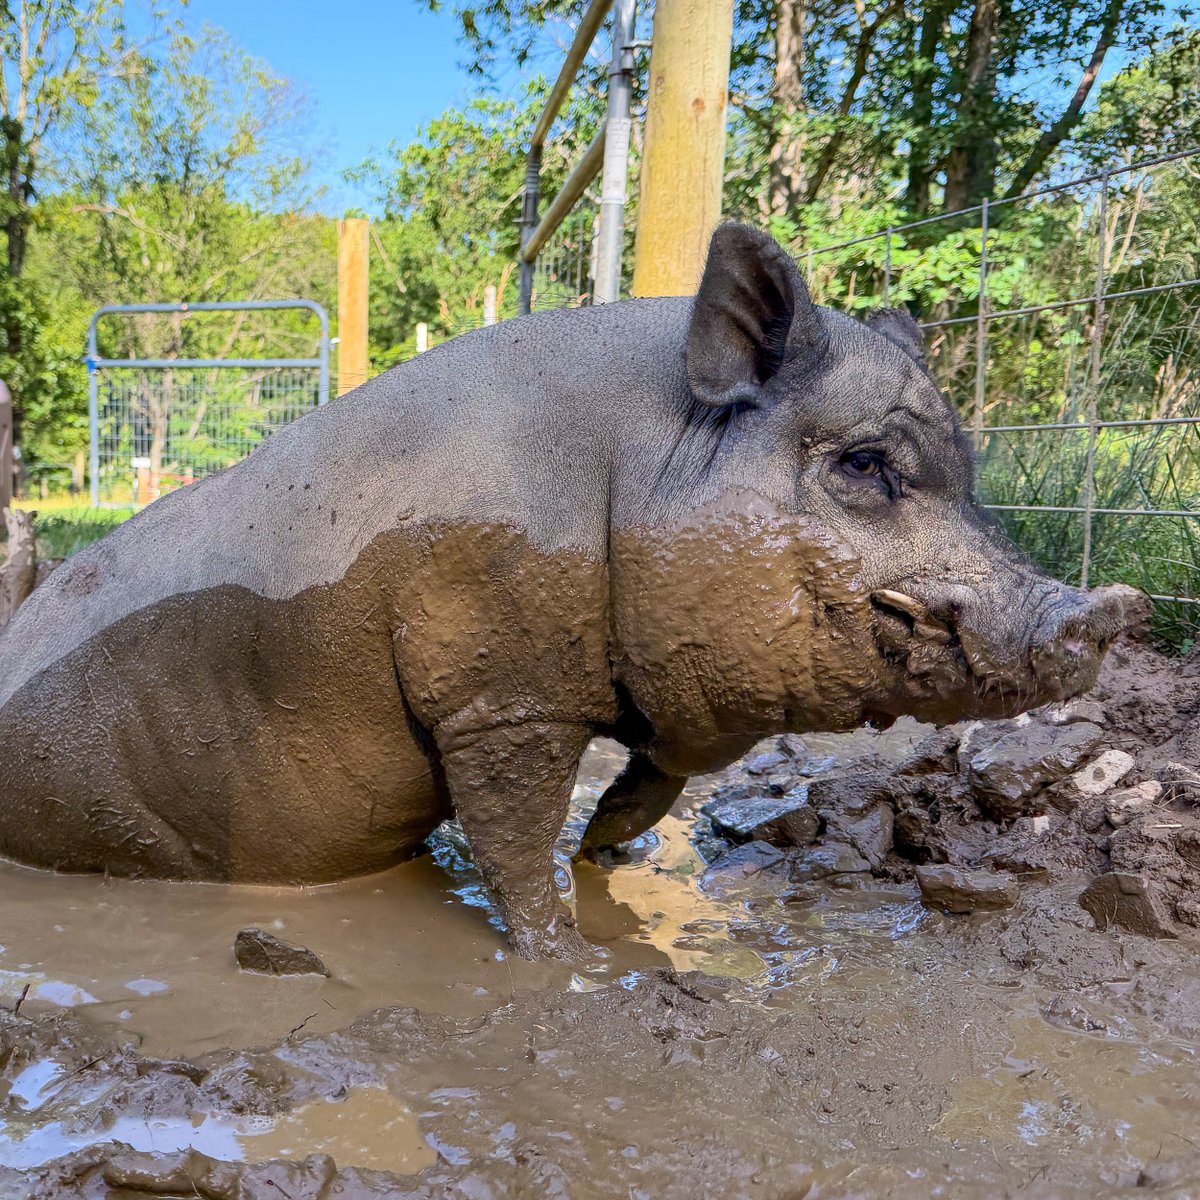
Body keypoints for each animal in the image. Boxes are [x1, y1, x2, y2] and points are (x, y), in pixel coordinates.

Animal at [0, 224, 1125, 959]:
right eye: (862, 464)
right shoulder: (498, 697)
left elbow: (650, 778)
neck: (634, 466)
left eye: (968, 475)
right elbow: (512, 837)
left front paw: (612, 855)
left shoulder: (674, 694)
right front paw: (570, 959)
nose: (1108, 609)